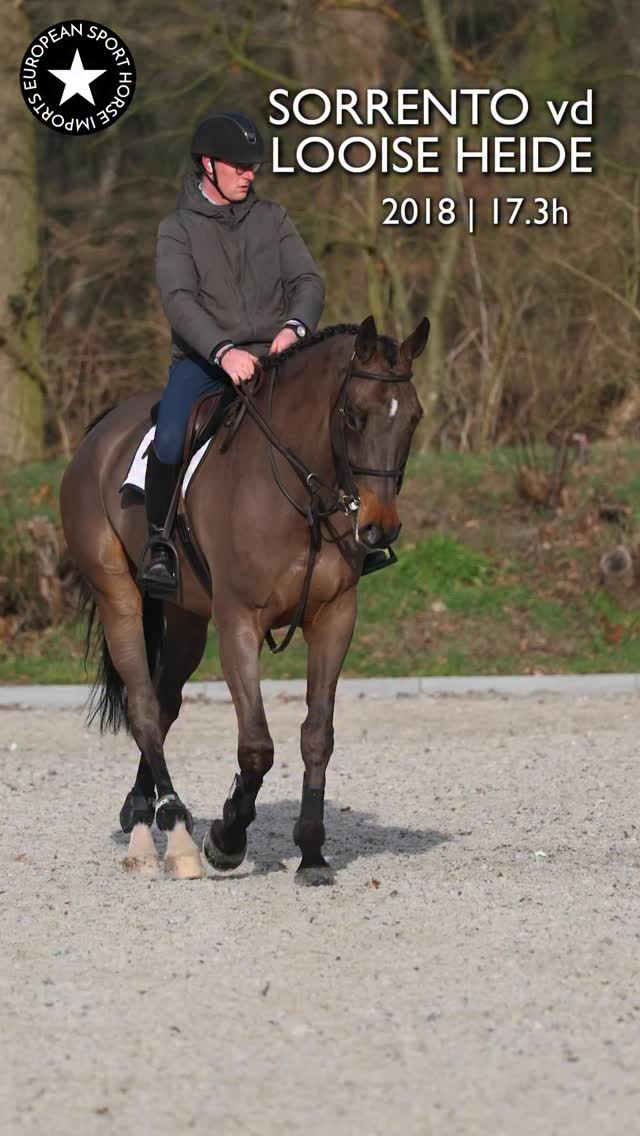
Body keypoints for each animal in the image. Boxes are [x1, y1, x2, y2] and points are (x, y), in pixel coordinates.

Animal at [60, 314, 429, 884]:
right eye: (353, 415)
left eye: (413, 418)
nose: (379, 527)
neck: (301, 492)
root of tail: (100, 433)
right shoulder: (239, 623)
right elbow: (256, 747)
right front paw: (227, 839)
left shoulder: (335, 618)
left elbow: (317, 735)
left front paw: (312, 853)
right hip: (117, 595)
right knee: (143, 707)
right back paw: (175, 827)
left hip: (186, 618)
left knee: (163, 706)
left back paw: (143, 815)